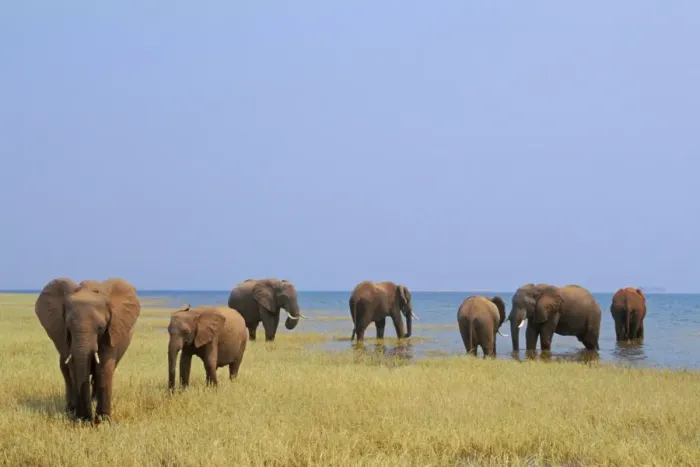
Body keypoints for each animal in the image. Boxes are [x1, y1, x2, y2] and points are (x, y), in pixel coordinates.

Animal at [34, 277, 141, 423]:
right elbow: (73, 368)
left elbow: (104, 368)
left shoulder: (111, 331)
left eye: (101, 327)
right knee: (66, 373)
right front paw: (81, 420)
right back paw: (70, 410)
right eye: (68, 327)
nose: (87, 419)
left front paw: (103, 422)